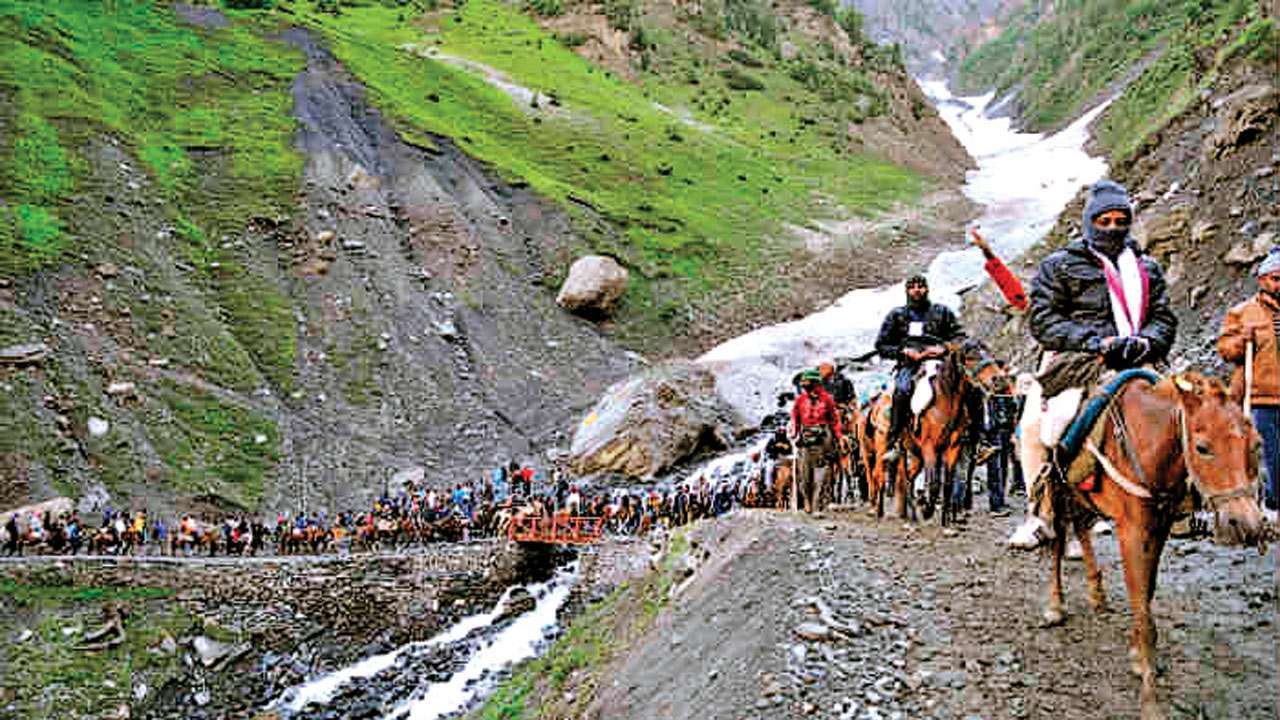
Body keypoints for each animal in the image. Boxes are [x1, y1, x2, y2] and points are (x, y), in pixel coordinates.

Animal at [1044, 371, 1264, 712]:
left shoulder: (1158, 529)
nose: (1247, 525)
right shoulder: (1131, 532)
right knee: (1057, 542)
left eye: (1255, 444)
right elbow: (1139, 601)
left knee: (1081, 528)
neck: (1148, 443)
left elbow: (1147, 592)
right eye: (1202, 448)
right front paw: (1149, 694)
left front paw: (1139, 655)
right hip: (1058, 488)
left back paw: (1097, 594)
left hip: (1082, 496)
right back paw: (1055, 606)